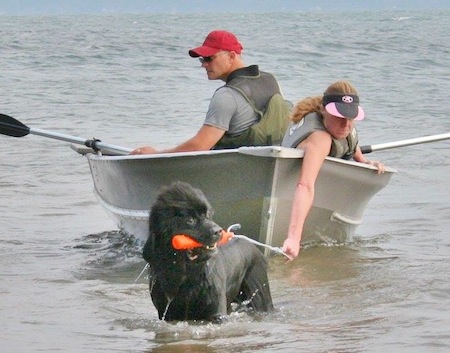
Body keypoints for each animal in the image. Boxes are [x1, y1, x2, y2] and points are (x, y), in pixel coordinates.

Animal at [142, 180, 272, 320]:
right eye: (190, 220)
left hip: (259, 293)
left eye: (207, 214)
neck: (187, 274)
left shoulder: (216, 310)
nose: (218, 231)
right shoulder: (167, 312)